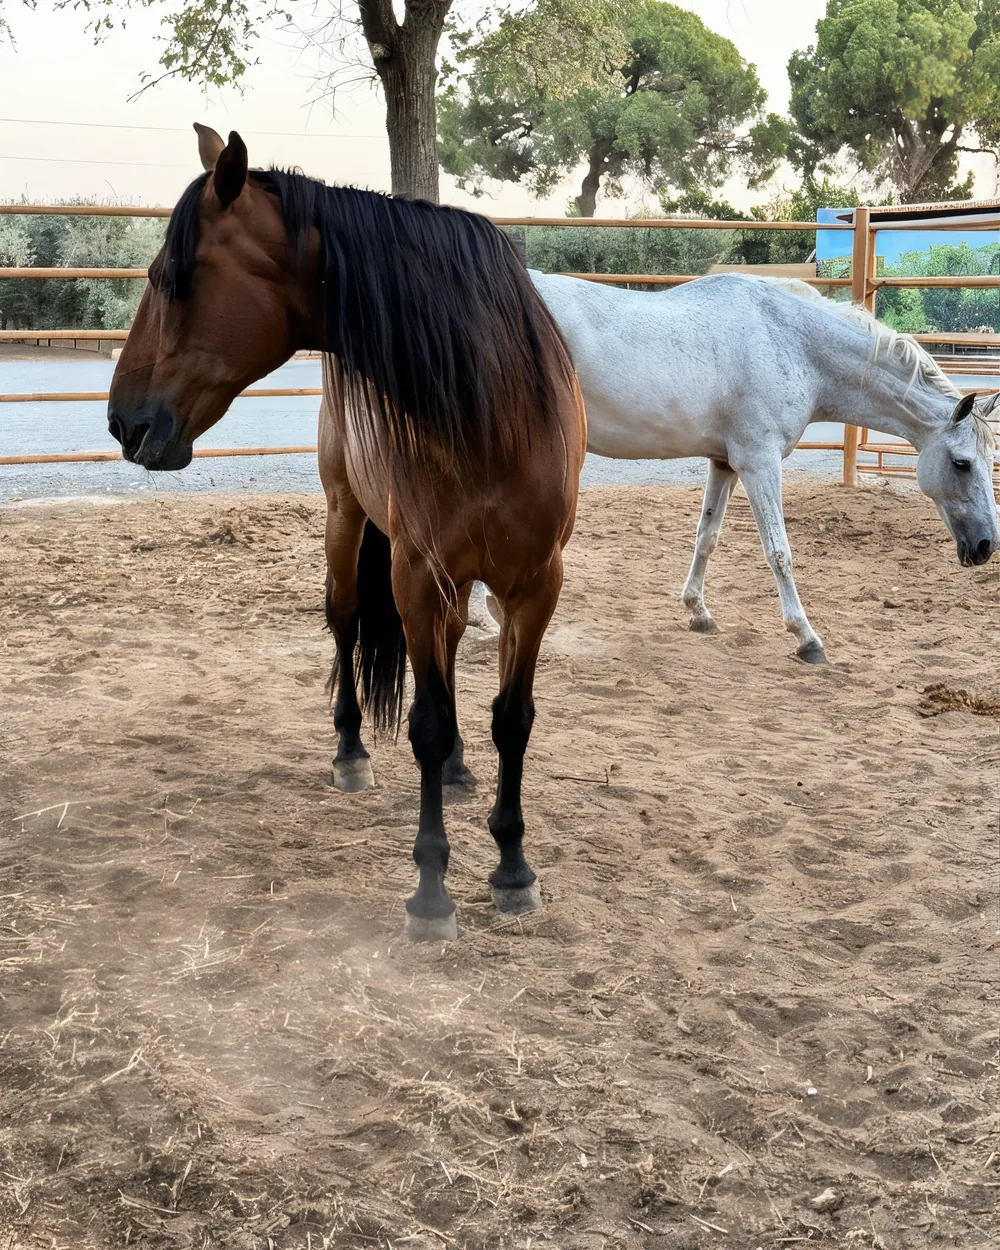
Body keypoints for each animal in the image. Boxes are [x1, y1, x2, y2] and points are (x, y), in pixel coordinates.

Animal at [107, 125, 586, 941]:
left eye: (173, 276)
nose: (123, 423)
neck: (488, 406)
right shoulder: (415, 575)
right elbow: (426, 723)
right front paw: (431, 891)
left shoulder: (535, 584)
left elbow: (512, 721)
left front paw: (513, 866)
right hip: (347, 517)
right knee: (344, 619)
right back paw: (351, 752)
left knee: (450, 650)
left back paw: (458, 771)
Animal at [530, 270, 999, 663]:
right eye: (961, 463)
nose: (985, 546)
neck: (791, 342)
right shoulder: (759, 462)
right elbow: (779, 552)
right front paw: (806, 637)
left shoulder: (724, 463)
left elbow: (707, 537)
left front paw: (698, 612)